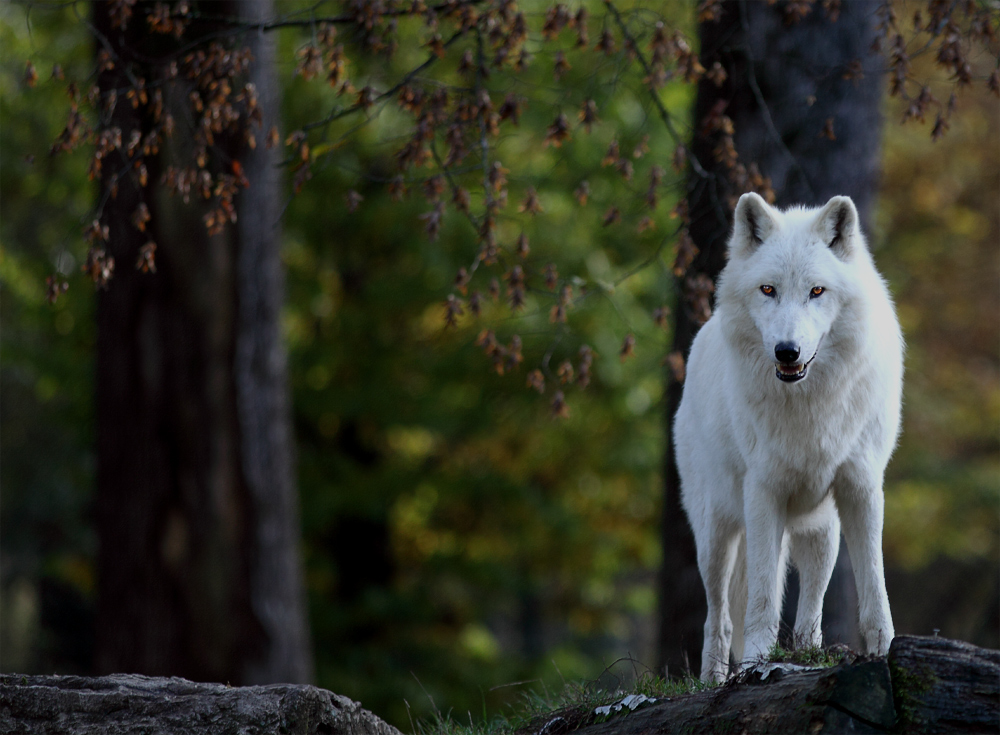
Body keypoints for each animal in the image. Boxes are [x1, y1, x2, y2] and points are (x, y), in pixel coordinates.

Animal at [676, 193, 904, 680]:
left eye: (817, 291)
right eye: (768, 290)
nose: (787, 351)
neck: (809, 405)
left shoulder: (861, 487)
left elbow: (874, 587)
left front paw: (884, 650)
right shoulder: (764, 492)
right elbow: (762, 599)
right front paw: (756, 664)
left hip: (822, 533)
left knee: (811, 608)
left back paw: (808, 652)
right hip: (716, 535)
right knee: (719, 617)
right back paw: (713, 679)